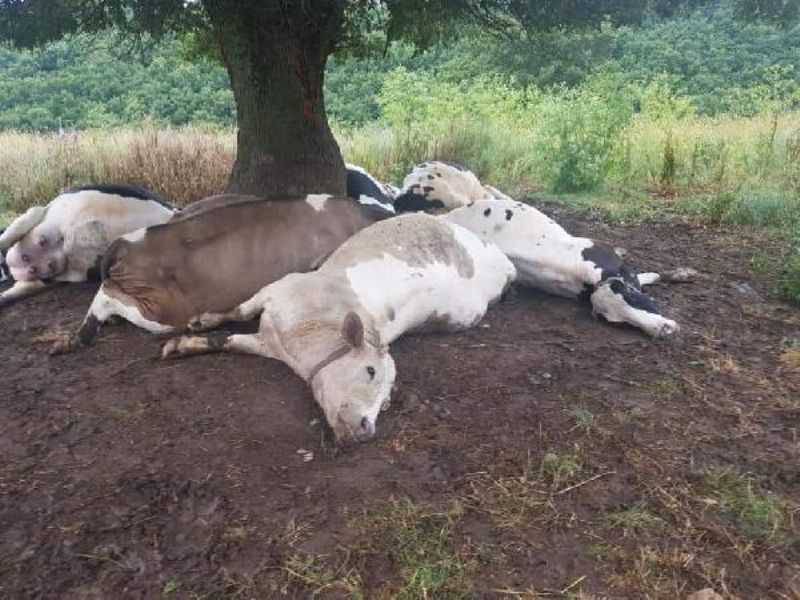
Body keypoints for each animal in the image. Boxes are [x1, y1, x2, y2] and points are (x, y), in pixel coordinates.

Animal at [161, 213, 520, 442]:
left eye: (387, 402)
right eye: (371, 371)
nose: (366, 429)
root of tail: (504, 262)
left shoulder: (270, 341)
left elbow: (233, 340)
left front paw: (184, 343)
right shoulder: (280, 289)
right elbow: (237, 315)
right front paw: (195, 328)